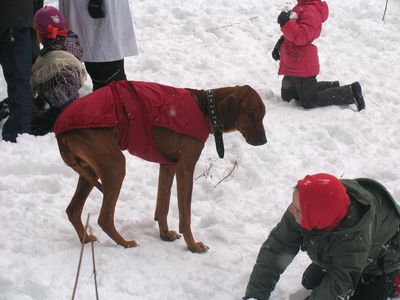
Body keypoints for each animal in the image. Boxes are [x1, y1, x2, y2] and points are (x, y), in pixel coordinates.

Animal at [53, 80, 266, 253]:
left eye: (263, 115)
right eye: (252, 114)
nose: (264, 141)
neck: (205, 107)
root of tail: (60, 131)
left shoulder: (168, 165)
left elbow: (162, 205)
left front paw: (165, 234)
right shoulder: (185, 169)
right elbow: (185, 215)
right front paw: (193, 246)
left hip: (90, 170)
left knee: (72, 210)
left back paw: (86, 239)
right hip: (115, 166)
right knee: (104, 218)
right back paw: (125, 243)